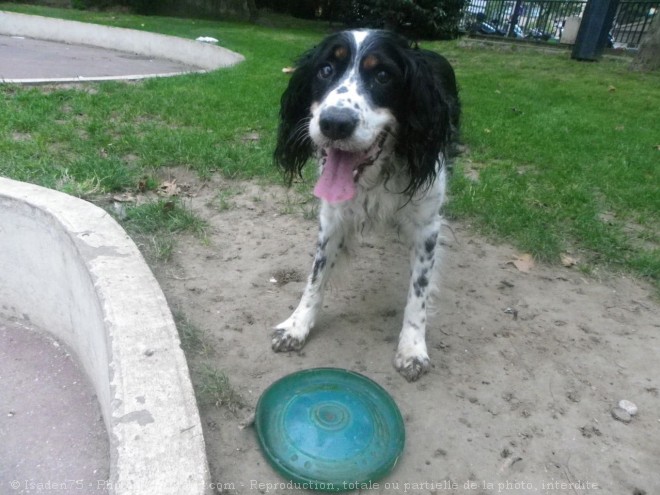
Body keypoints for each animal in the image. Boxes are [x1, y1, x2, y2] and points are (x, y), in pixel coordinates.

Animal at [270, 29, 462, 382]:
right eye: (325, 70)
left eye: (383, 75)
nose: (334, 123)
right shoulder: (332, 219)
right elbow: (315, 277)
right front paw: (297, 325)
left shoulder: (427, 226)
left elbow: (419, 291)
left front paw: (413, 347)